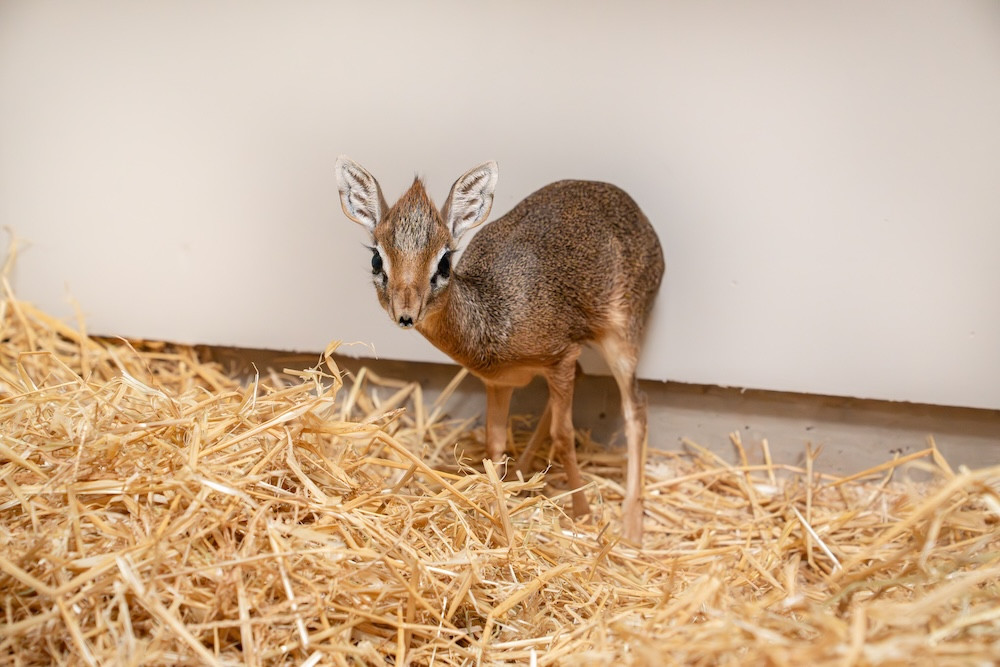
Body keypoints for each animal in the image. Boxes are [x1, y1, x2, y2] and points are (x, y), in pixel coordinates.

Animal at [334, 156, 664, 544]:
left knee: (636, 406)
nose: (406, 314)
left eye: (444, 262)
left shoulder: (561, 358)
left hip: (622, 337)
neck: (493, 318)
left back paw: (632, 524)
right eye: (377, 260)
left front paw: (582, 513)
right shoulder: (499, 382)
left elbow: (564, 436)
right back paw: (522, 473)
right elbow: (494, 443)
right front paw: (498, 507)